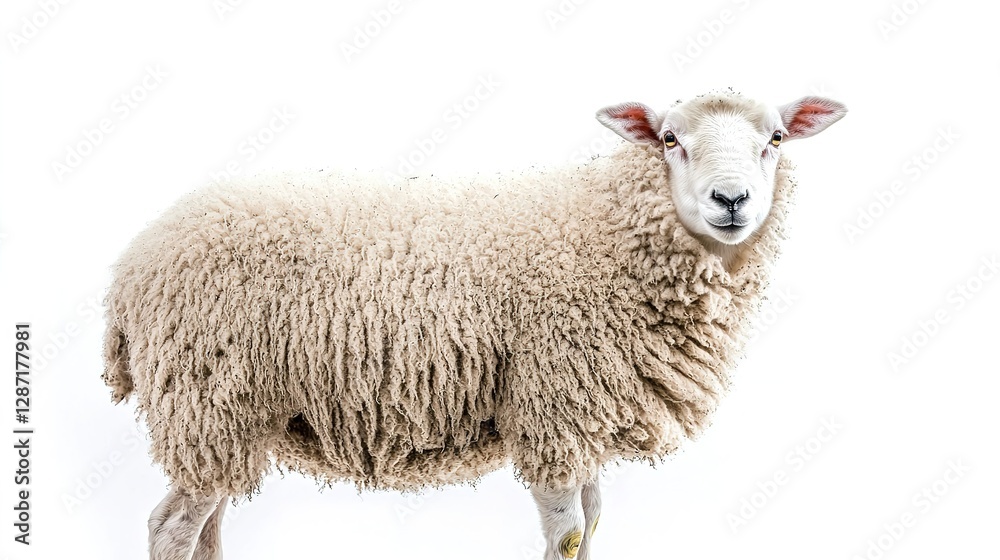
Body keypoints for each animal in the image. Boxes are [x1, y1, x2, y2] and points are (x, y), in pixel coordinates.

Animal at [102, 90, 846, 560]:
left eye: (775, 139)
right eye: (670, 139)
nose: (731, 200)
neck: (605, 234)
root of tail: (134, 260)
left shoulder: (584, 420)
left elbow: (595, 525)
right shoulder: (551, 407)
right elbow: (568, 535)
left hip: (223, 416)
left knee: (206, 525)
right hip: (208, 397)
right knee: (171, 528)